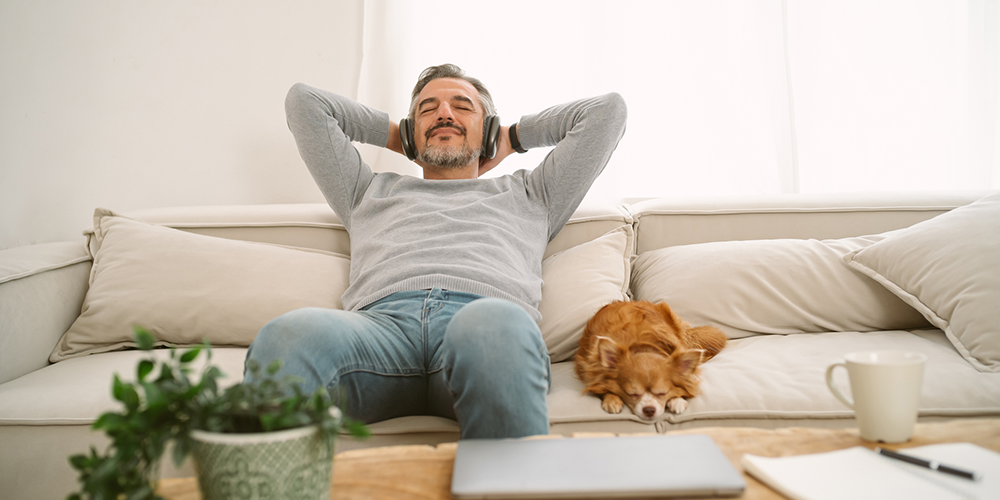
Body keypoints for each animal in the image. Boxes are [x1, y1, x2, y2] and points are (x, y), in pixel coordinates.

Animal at [580, 302, 728, 420]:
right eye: (632, 394)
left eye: (662, 393)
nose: (649, 410)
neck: (641, 347)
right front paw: (612, 399)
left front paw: (677, 400)